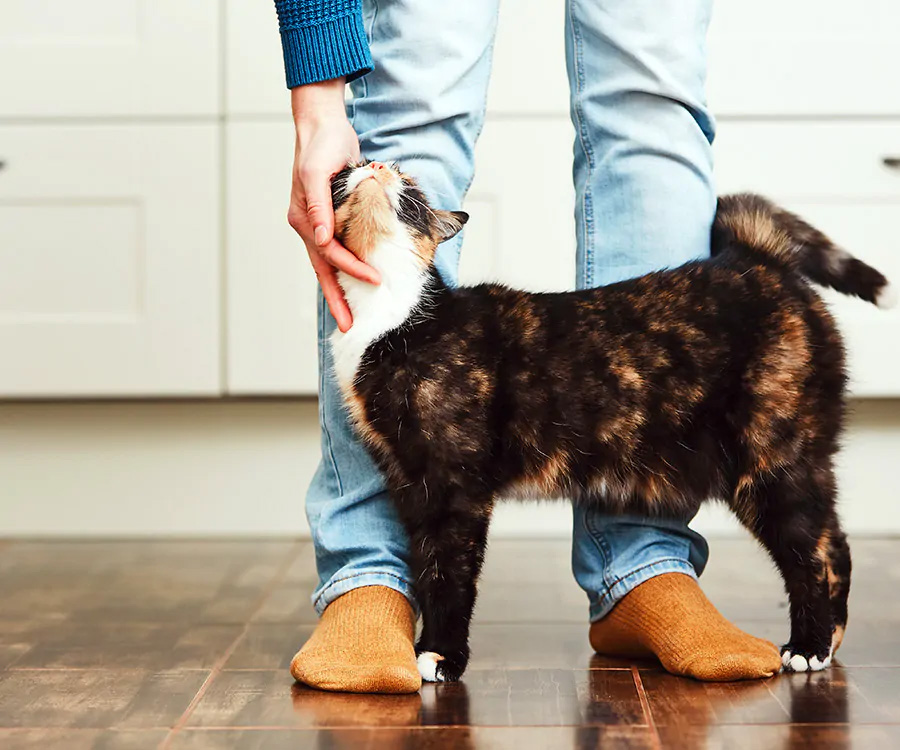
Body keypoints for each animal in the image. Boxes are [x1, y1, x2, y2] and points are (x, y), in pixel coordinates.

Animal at [328, 160, 892, 688]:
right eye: (347, 172)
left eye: (410, 187)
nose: (374, 165)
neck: (392, 318)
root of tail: (756, 258)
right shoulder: (409, 482)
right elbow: (427, 568)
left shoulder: (455, 486)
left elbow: (450, 574)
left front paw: (442, 656)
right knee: (832, 543)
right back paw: (829, 641)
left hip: (772, 459)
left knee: (813, 553)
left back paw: (809, 647)